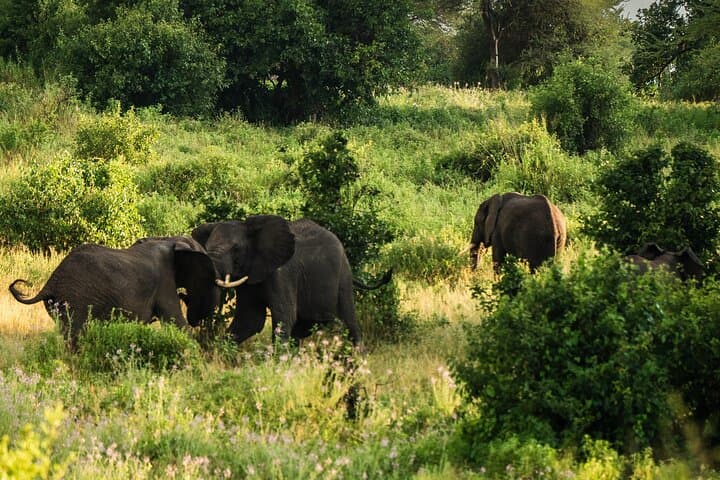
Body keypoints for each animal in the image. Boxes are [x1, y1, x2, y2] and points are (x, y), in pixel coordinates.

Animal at [8, 236, 219, 348]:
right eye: (207, 271)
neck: (172, 239)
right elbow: (176, 320)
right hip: (76, 299)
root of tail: (51, 282)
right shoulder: (164, 282)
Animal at [191, 215, 392, 347]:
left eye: (236, 249)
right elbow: (249, 321)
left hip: (343, 275)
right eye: (206, 247)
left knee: (349, 320)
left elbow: (284, 317)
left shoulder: (282, 274)